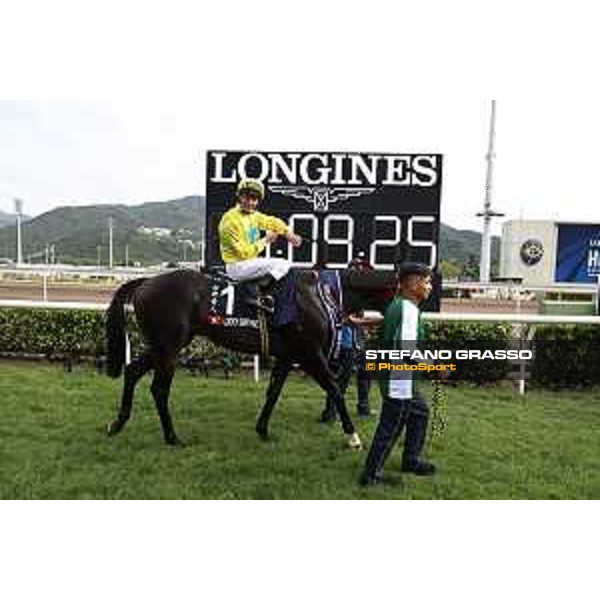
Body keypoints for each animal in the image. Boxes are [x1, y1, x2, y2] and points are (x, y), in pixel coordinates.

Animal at [105, 270, 396, 448]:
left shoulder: (289, 356)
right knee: (159, 389)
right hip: (169, 347)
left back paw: (118, 423)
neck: (322, 295)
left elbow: (273, 392)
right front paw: (353, 436)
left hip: (162, 346)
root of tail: (145, 283)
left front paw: (262, 429)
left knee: (132, 371)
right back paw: (172, 437)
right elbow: (335, 389)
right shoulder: (310, 354)